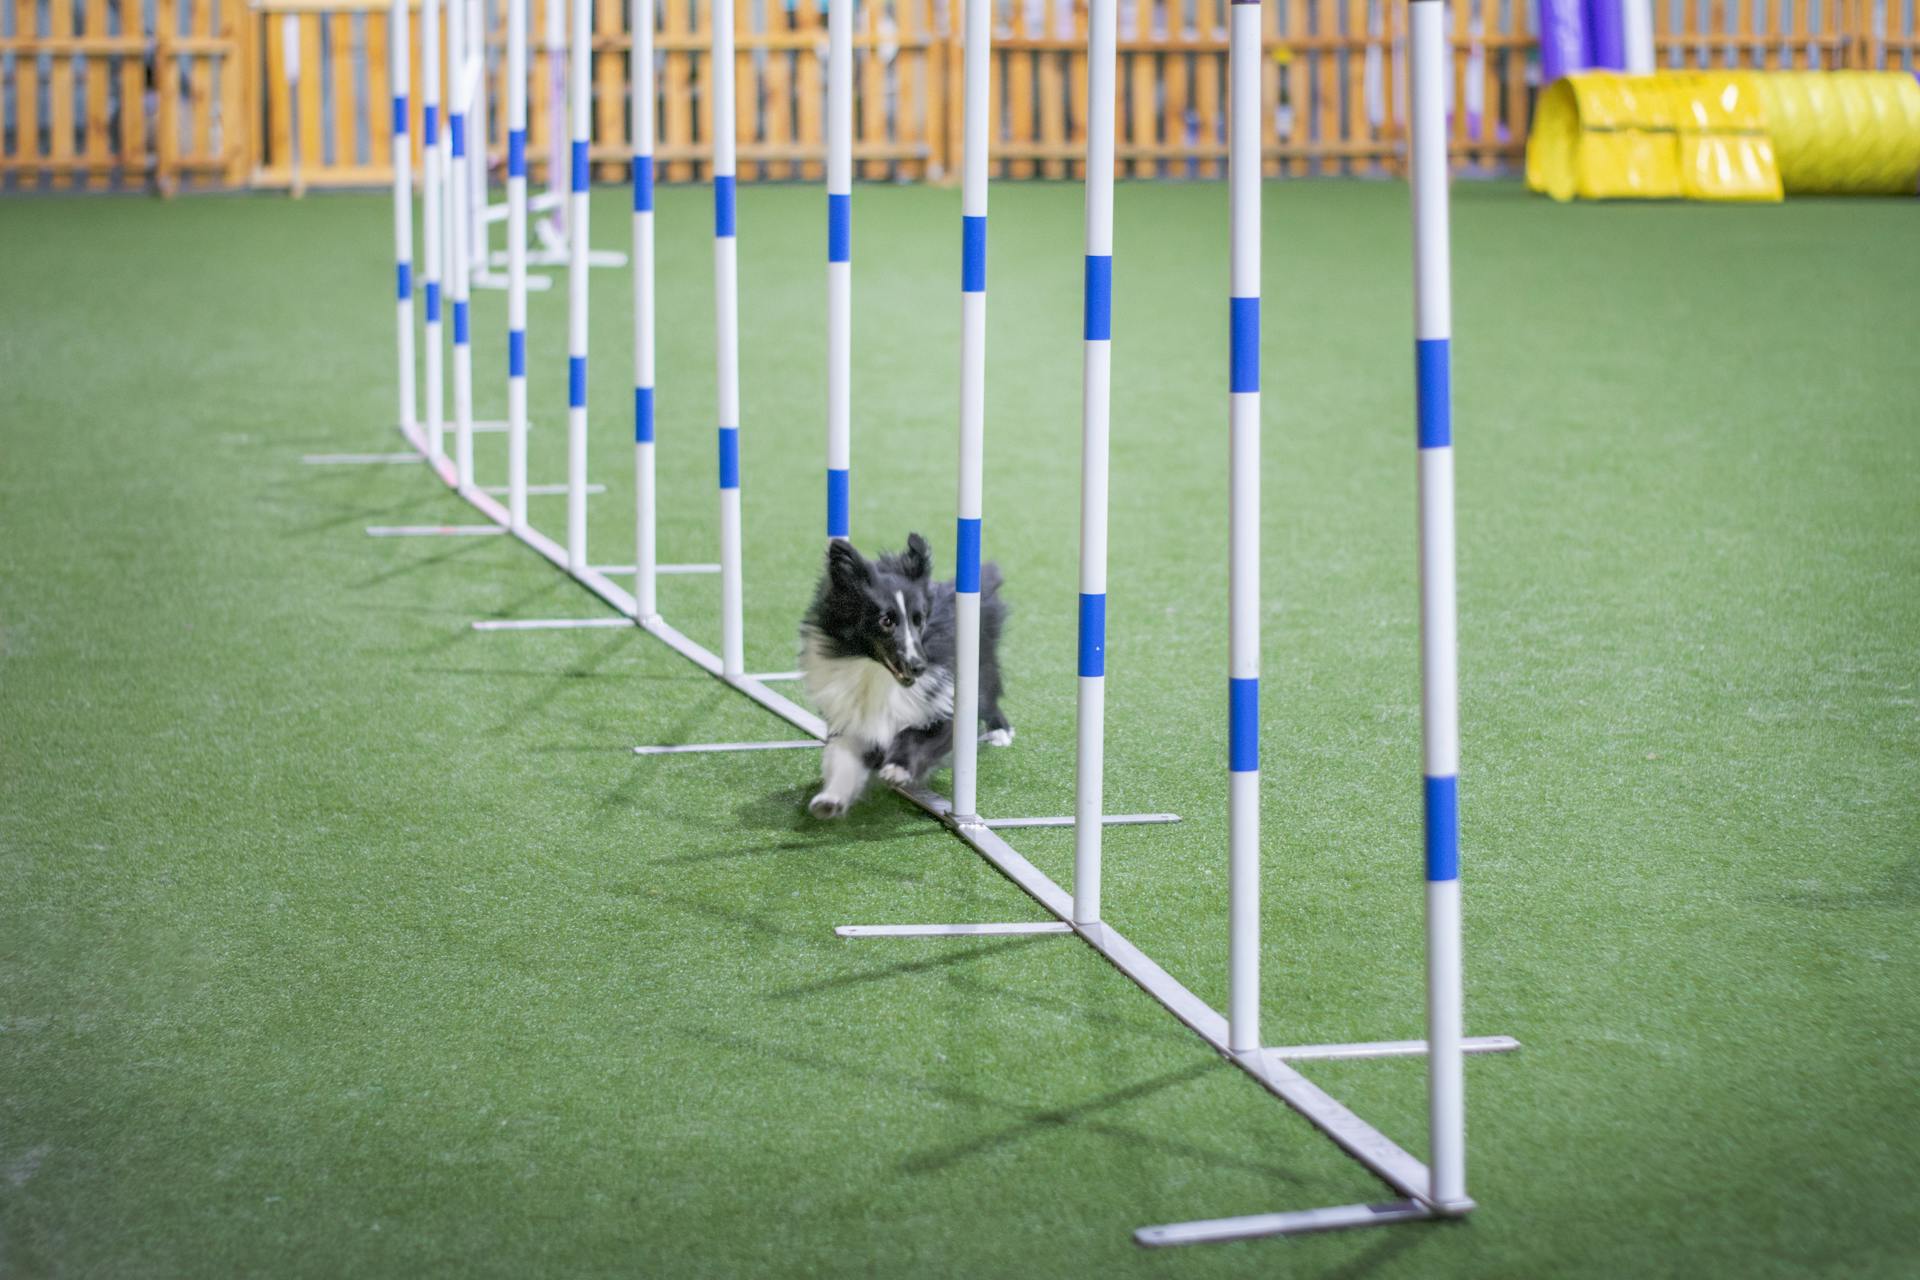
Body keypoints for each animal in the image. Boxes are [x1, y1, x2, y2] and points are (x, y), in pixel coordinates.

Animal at [794, 533, 1013, 821]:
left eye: (919, 620)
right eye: (886, 621)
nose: (918, 666)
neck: (877, 676)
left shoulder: (943, 706)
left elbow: (914, 735)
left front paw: (897, 769)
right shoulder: (853, 719)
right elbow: (841, 757)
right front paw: (829, 800)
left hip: (980, 667)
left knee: (988, 694)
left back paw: (1000, 732)